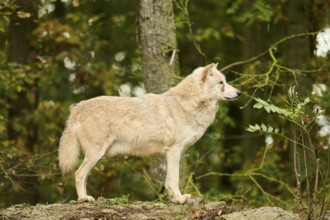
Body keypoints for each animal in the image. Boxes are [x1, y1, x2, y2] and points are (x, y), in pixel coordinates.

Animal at [58, 62, 240, 204]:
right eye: (221, 83)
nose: (239, 93)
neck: (187, 103)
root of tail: (78, 106)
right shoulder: (174, 151)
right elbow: (174, 179)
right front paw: (180, 199)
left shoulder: (173, 153)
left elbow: (168, 181)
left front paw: (173, 200)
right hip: (96, 154)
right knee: (78, 174)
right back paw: (84, 199)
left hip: (97, 155)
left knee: (81, 175)